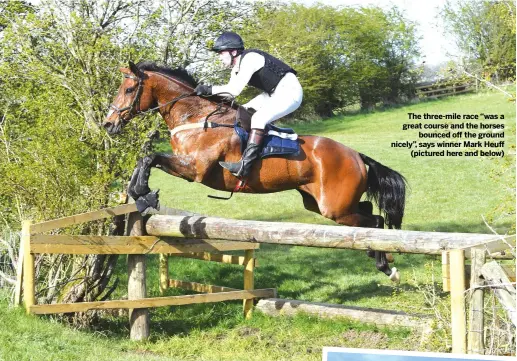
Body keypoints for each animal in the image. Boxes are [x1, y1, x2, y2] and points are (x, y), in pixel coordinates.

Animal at [103, 61, 406, 282]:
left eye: (128, 90)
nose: (108, 124)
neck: (196, 117)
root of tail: (356, 155)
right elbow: (144, 160)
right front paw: (139, 193)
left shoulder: (194, 169)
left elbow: (149, 157)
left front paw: (144, 194)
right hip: (322, 204)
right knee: (368, 212)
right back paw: (377, 254)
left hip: (334, 207)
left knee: (376, 221)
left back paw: (386, 266)